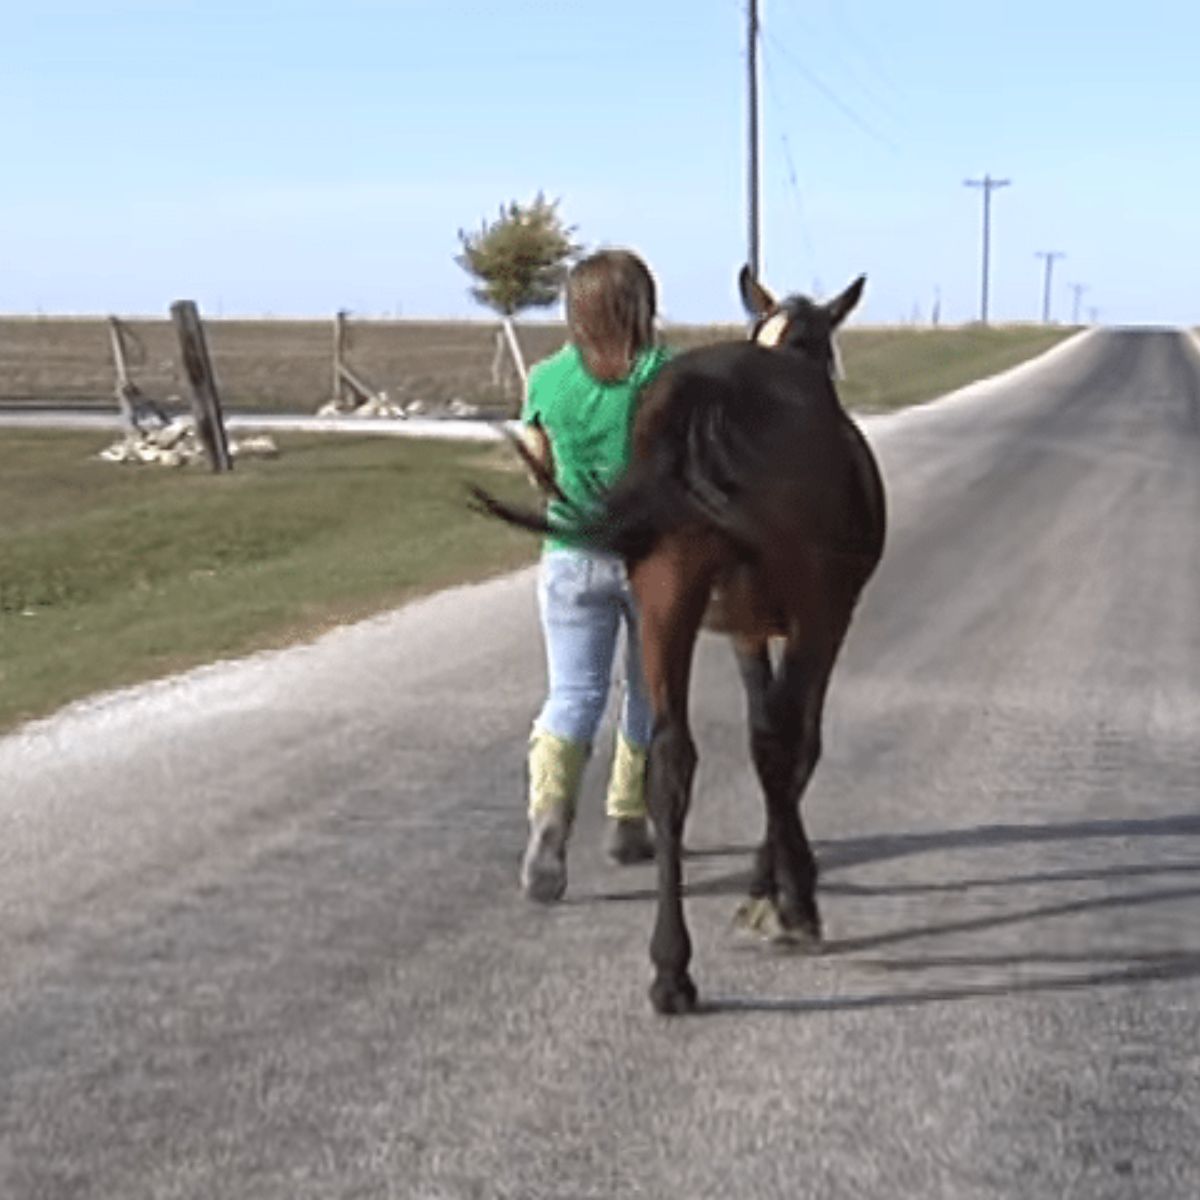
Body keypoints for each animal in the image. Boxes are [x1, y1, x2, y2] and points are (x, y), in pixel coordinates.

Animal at [472, 270, 888, 1012]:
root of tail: (705, 401)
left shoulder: (745, 628)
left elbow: (761, 740)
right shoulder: (824, 616)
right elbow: (793, 744)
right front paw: (782, 895)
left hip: (667, 592)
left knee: (670, 758)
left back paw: (671, 968)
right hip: (807, 603)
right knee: (773, 744)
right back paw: (787, 911)